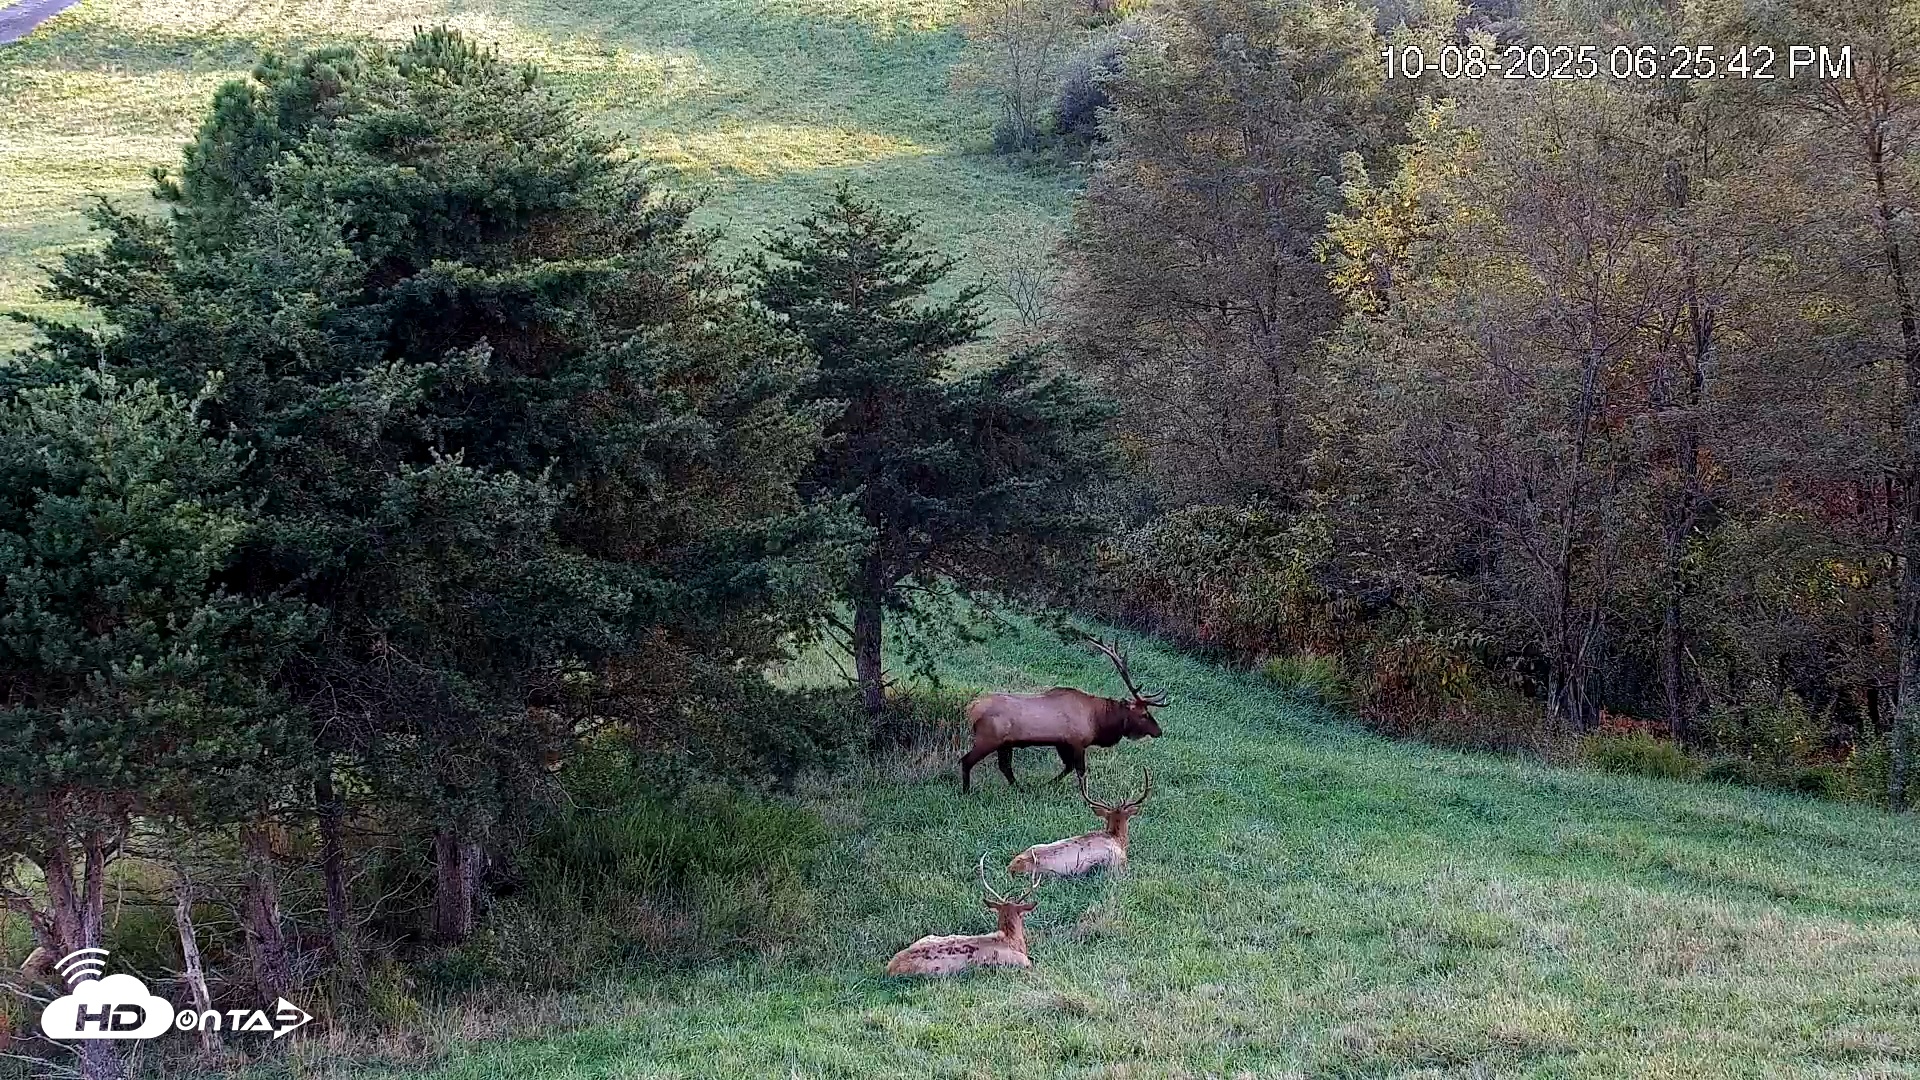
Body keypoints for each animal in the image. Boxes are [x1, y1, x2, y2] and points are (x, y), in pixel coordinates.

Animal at [959, 638, 1167, 793]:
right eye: (1144, 714)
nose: (1159, 731)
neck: (1098, 720)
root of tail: (972, 708)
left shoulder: (1061, 743)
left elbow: (1068, 767)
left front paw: (1047, 784)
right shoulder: (1077, 742)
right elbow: (1080, 770)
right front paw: (1084, 796)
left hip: (1005, 743)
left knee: (1005, 767)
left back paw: (1020, 788)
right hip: (989, 738)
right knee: (966, 761)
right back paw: (967, 791)